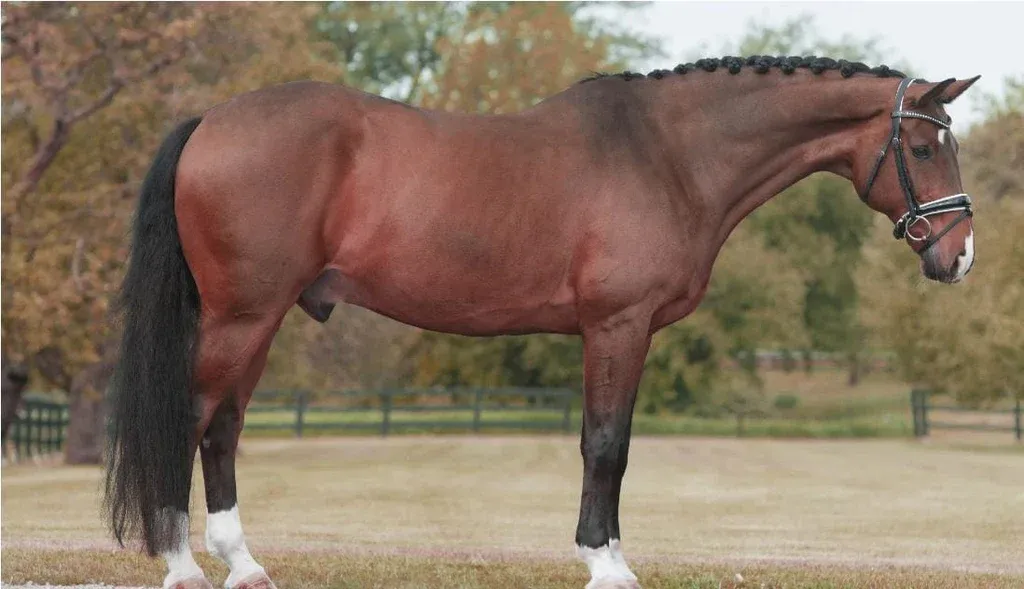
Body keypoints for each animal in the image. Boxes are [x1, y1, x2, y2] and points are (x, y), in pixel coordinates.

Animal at [103, 56, 980, 589]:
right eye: (923, 148)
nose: (960, 256)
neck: (669, 153)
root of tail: (209, 122)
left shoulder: (624, 331)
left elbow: (608, 444)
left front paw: (608, 551)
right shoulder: (618, 325)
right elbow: (606, 444)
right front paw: (606, 563)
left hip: (256, 318)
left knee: (221, 427)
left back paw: (243, 563)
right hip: (242, 315)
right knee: (193, 417)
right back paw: (185, 564)